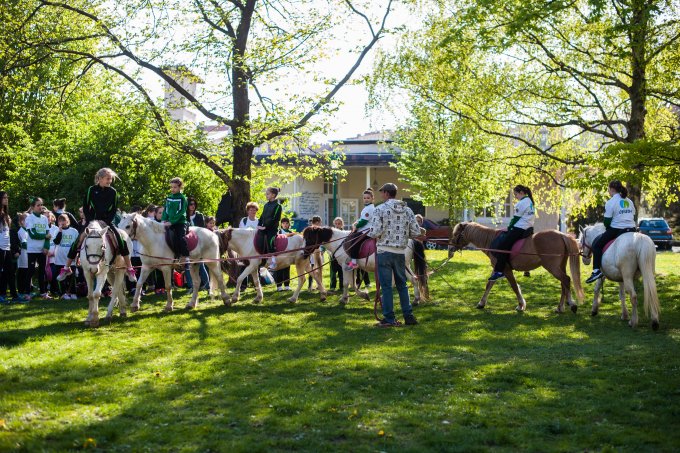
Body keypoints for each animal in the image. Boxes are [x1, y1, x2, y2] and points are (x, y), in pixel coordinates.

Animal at [300, 226, 428, 304]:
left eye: (309, 237)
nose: (303, 253)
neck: (340, 242)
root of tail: (411, 241)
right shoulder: (351, 268)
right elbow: (353, 284)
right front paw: (360, 295)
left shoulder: (345, 267)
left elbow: (346, 283)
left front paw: (343, 299)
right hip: (405, 266)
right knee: (414, 279)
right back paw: (416, 300)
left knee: (403, 281)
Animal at [446, 222, 584, 310]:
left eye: (456, 234)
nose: (450, 249)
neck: (491, 240)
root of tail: (561, 235)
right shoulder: (497, 269)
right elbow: (489, 284)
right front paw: (481, 303)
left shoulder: (506, 270)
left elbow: (514, 286)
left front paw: (521, 305)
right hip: (560, 266)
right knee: (563, 283)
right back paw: (560, 307)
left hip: (552, 267)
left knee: (566, 279)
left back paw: (571, 304)